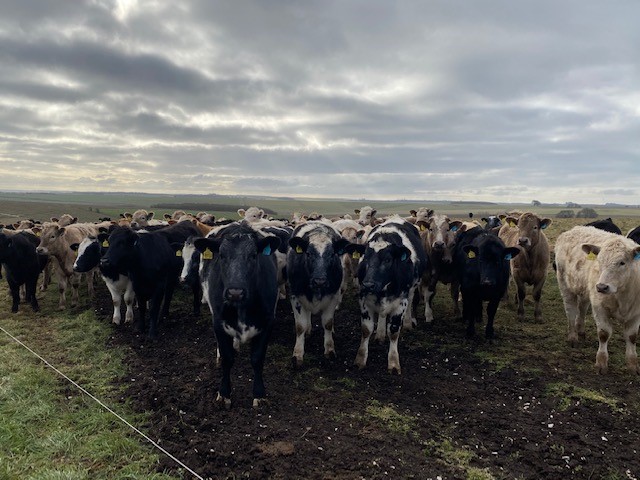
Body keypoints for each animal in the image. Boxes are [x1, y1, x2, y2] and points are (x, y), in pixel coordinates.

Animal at [191, 222, 278, 408]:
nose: (235, 292)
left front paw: (259, 393)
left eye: (253, 255)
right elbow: (227, 358)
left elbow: (257, 359)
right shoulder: (218, 322)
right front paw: (224, 393)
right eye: (222, 255)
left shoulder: (268, 322)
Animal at [288, 222, 358, 368]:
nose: (319, 280)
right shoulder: (295, 296)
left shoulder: (333, 296)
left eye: (332, 254)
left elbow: (328, 323)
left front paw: (329, 349)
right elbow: (300, 326)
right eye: (308, 253)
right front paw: (297, 354)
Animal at [348, 218, 428, 376]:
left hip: (412, 289)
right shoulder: (364, 300)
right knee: (382, 315)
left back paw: (408, 323)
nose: (368, 284)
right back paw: (379, 334)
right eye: (365, 258)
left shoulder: (400, 302)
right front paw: (360, 359)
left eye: (388, 260)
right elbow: (366, 329)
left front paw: (393, 362)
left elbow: (394, 331)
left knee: (410, 303)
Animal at [556, 227, 640, 374]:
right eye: (599, 261)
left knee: (582, 308)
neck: (622, 295)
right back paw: (573, 337)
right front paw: (601, 362)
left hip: (585, 290)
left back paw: (581, 331)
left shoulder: (636, 312)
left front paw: (633, 365)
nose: (601, 287)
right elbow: (604, 334)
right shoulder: (599, 307)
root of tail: (574, 229)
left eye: (622, 262)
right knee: (571, 311)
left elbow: (632, 336)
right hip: (565, 285)